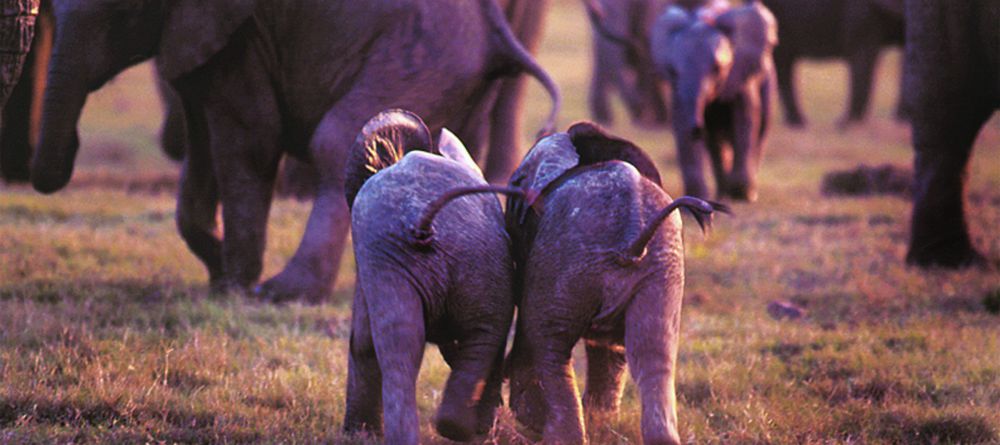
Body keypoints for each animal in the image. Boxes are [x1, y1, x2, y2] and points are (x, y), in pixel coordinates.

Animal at [29, 0, 560, 302]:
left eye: (122, 14)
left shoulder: (238, 32)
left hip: (421, 55)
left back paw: (286, 293)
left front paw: (236, 287)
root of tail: (495, 28)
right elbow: (202, 146)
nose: (73, 145)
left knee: (339, 143)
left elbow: (249, 142)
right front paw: (219, 273)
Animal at [343, 110, 518, 444]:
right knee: (474, 336)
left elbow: (363, 341)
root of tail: (423, 223)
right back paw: (459, 429)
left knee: (402, 346)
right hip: (475, 260)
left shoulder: (367, 258)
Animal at [650, 2, 777, 201]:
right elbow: (680, 121)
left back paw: (747, 193)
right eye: (673, 70)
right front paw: (697, 198)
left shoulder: (741, 73)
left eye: (717, 68)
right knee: (715, 143)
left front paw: (740, 194)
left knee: (760, 127)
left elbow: (746, 116)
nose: (697, 129)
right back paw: (722, 194)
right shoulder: (677, 90)